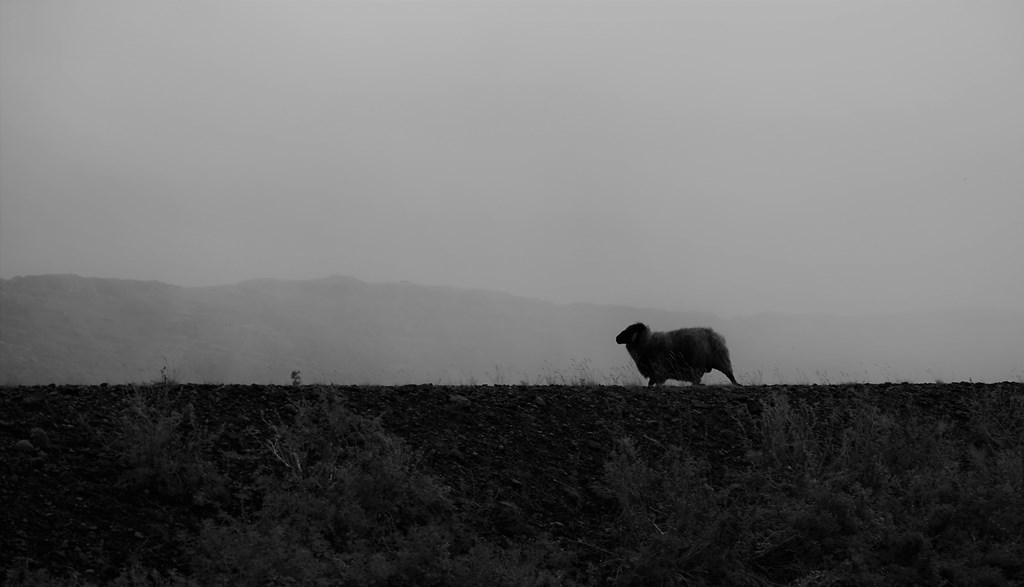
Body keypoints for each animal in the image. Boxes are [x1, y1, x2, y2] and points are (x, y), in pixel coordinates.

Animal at [610, 319, 741, 385]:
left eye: (629, 330)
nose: (616, 338)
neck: (647, 342)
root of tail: (714, 334)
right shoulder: (654, 373)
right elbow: (650, 384)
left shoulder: (659, 370)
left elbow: (655, 384)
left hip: (718, 360)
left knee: (729, 374)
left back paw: (737, 384)